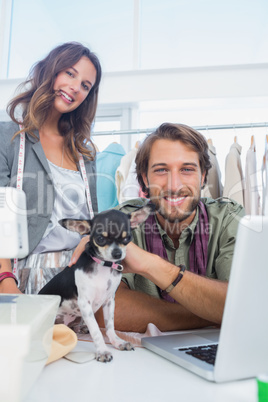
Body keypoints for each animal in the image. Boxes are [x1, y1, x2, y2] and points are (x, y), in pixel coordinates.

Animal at [38, 206, 152, 362]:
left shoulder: (109, 301)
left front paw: (117, 342)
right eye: (100, 239)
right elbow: (96, 330)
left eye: (127, 238)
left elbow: (110, 326)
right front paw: (102, 351)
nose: (117, 253)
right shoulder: (85, 303)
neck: (104, 267)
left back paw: (80, 328)